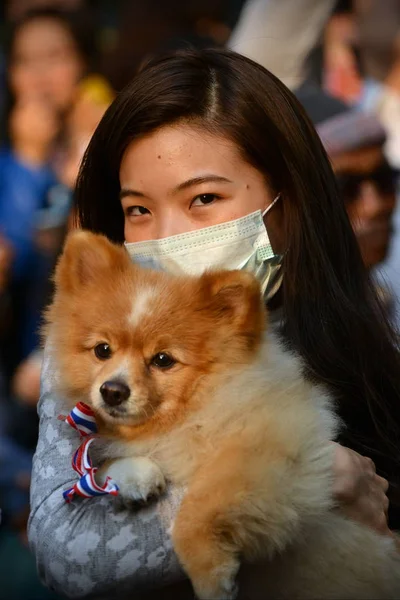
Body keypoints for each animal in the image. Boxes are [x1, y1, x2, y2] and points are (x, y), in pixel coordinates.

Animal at [43, 231, 400, 600]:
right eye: (102, 350)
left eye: (163, 360)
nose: (112, 390)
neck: (185, 420)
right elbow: (99, 469)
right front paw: (135, 476)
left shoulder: (269, 449)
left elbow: (198, 506)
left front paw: (211, 576)